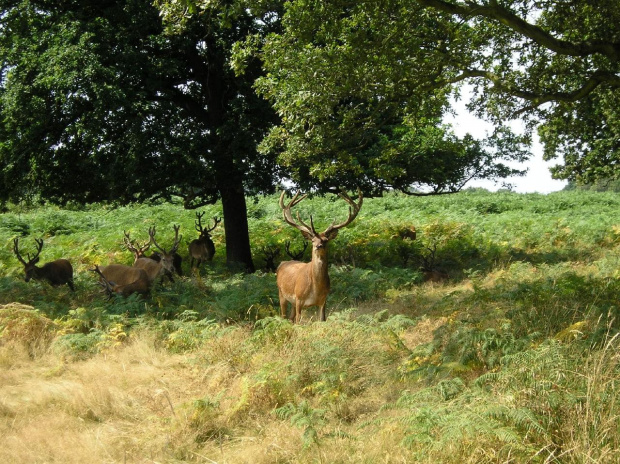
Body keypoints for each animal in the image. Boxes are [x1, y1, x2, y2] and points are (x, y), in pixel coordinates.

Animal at [276, 188, 364, 322]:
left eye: (325, 240)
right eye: (313, 240)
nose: (318, 246)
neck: (315, 289)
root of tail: (282, 263)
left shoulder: (323, 301)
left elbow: (322, 320)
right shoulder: (299, 299)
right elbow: (298, 322)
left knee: (290, 318)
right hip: (282, 293)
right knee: (284, 316)